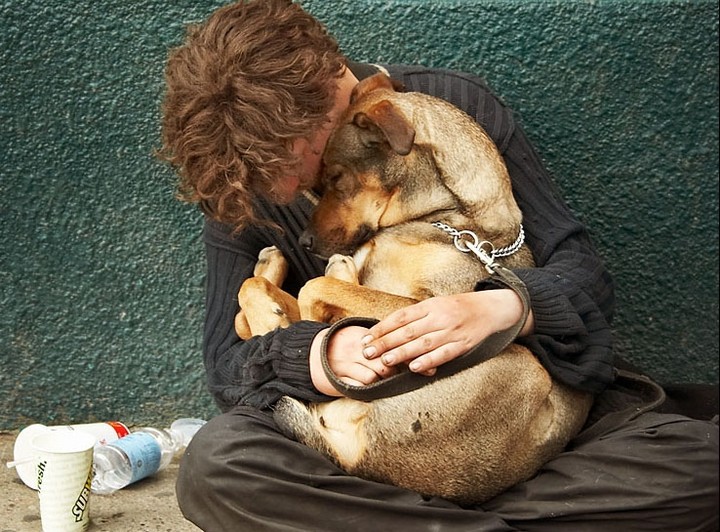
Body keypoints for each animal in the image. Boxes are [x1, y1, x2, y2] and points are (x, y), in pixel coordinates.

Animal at [236, 72, 592, 504]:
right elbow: (252, 294)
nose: (304, 243)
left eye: (337, 179)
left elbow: (313, 289)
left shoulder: (425, 307)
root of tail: (358, 459)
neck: (453, 220)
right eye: (319, 184)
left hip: (521, 366)